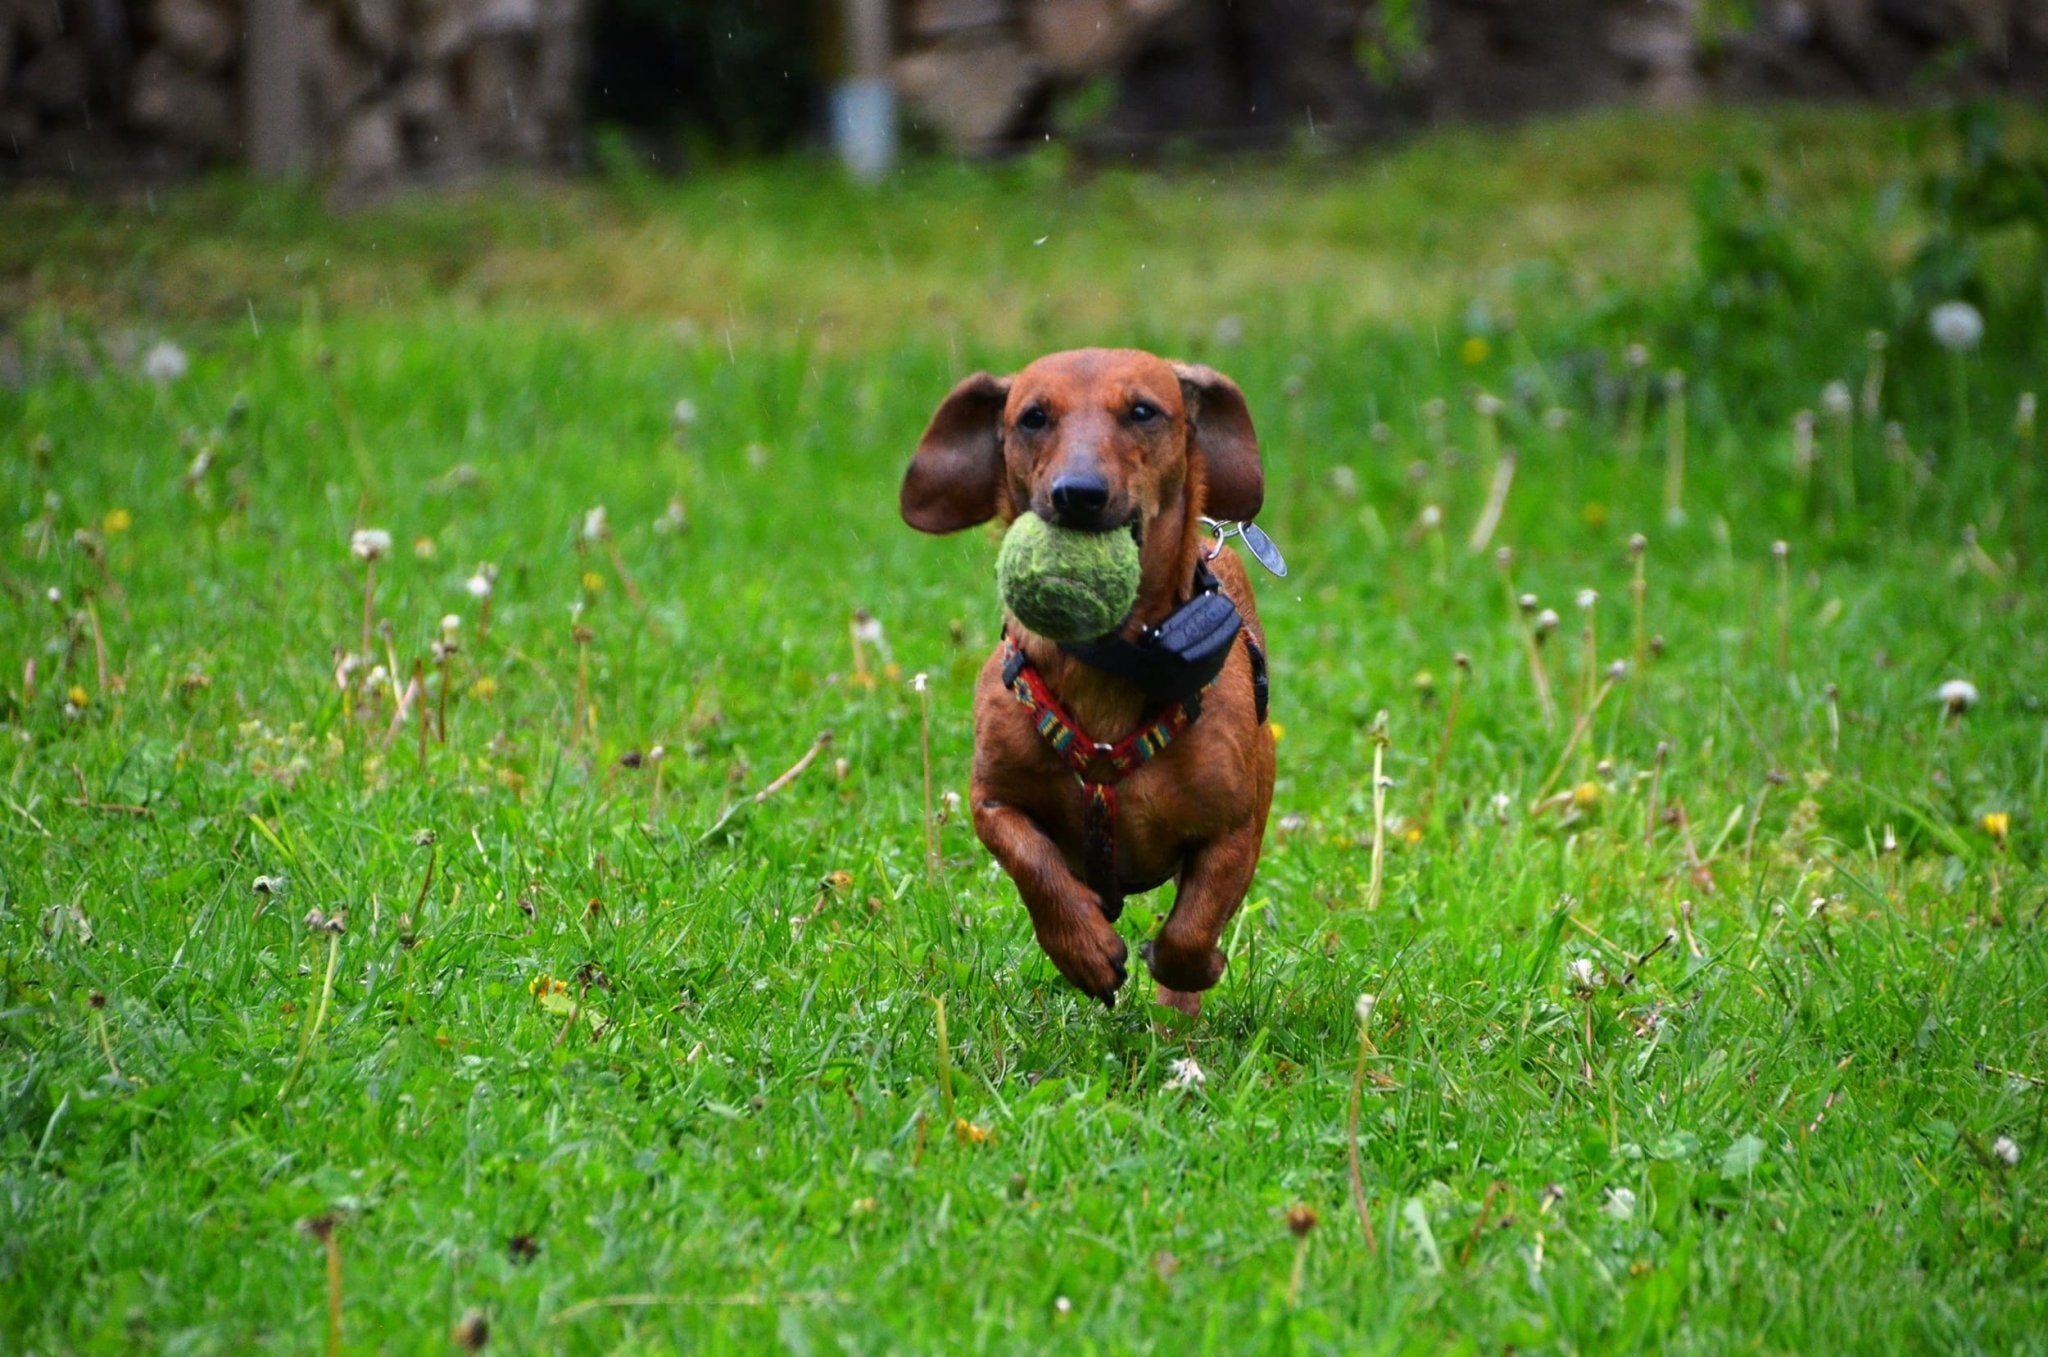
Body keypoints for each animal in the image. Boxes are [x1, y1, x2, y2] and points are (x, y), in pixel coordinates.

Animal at [901, 345, 1269, 1015]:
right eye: (1033, 417)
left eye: (1143, 411)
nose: (1078, 494)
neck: (1109, 664)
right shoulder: (993, 800)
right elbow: (1035, 866)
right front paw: (1083, 949)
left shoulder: (1234, 832)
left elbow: (1190, 930)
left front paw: (1195, 967)